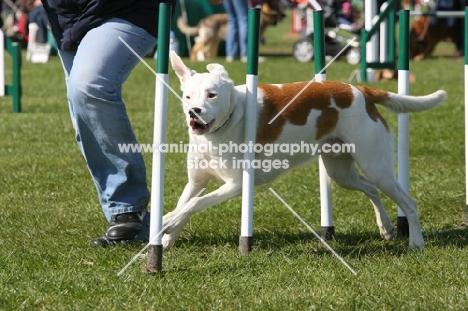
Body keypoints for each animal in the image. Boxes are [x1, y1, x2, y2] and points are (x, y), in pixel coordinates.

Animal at [163, 51, 448, 251]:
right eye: (187, 97)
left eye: (212, 95)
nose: (194, 113)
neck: (227, 122)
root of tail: (360, 90)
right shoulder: (196, 182)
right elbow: (185, 204)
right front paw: (164, 239)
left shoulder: (237, 184)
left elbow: (195, 204)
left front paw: (166, 222)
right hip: (340, 172)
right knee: (371, 189)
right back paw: (386, 227)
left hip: (376, 166)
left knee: (407, 202)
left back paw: (416, 242)